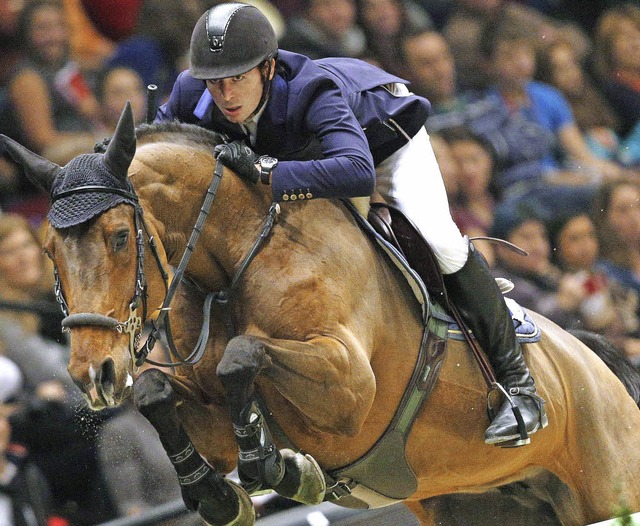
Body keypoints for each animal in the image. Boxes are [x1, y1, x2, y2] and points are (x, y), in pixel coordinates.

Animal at [2, 104, 636, 526]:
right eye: (49, 251)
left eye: (117, 237)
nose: (94, 374)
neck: (232, 265)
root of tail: (595, 361)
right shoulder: (203, 410)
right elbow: (158, 392)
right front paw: (219, 494)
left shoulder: (350, 388)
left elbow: (244, 355)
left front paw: (279, 466)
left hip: (608, 482)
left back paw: (518, 405)